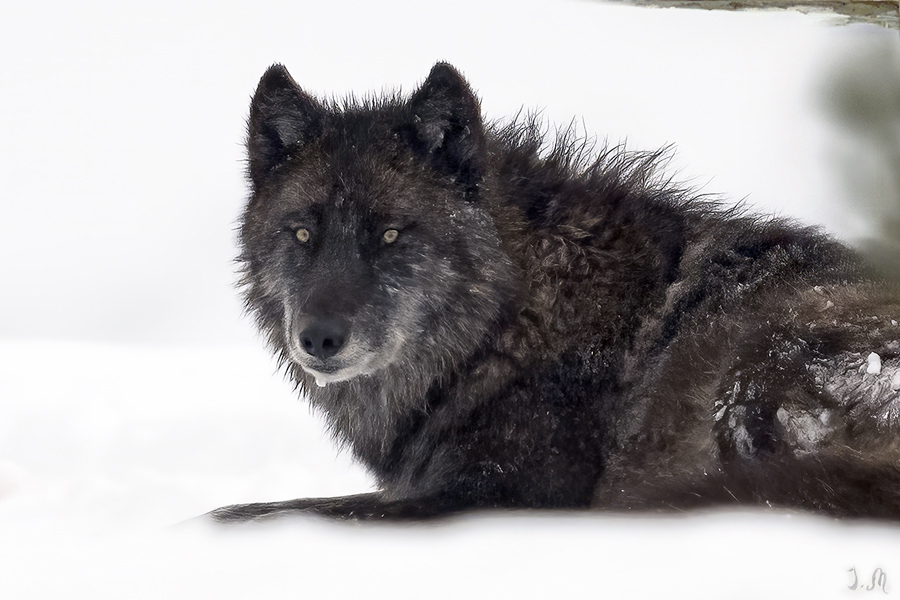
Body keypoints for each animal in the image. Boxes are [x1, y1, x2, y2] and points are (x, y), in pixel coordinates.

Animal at [210, 62, 900, 522]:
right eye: (302, 232)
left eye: (389, 233)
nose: (319, 339)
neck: (512, 319)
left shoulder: (503, 494)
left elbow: (277, 509)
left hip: (760, 365)